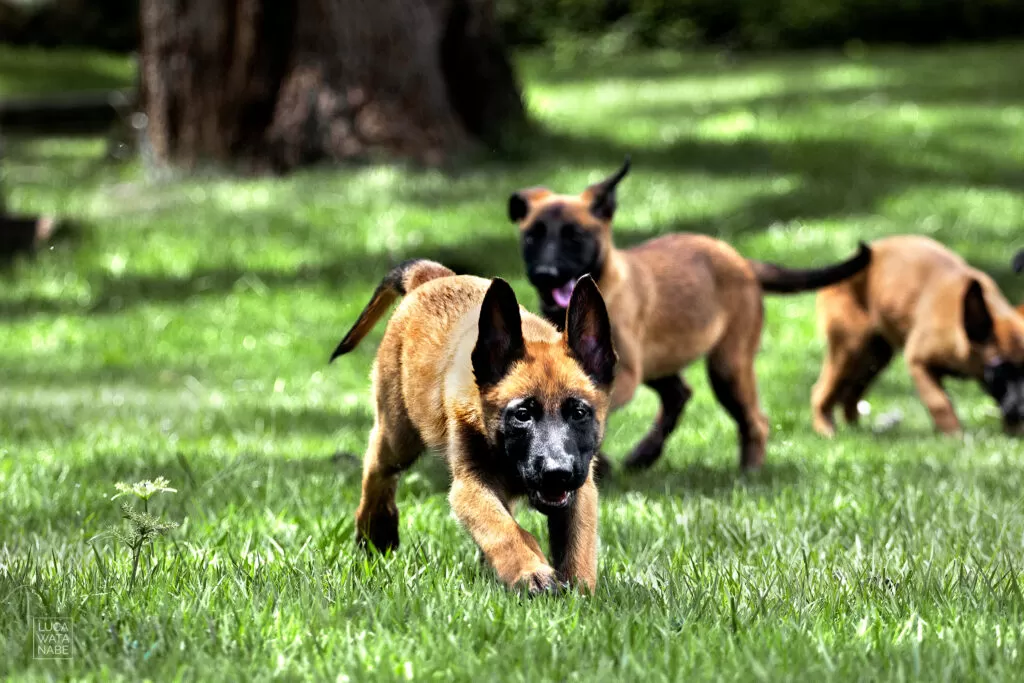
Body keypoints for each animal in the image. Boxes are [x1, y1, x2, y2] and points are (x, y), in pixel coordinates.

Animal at [331, 258, 610, 593]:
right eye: (522, 415)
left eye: (579, 412)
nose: (557, 473)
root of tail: (433, 277)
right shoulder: (469, 485)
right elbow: (505, 530)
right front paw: (531, 572)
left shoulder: (580, 489)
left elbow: (578, 545)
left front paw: (579, 591)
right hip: (399, 434)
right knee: (377, 466)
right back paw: (376, 530)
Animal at [505, 157, 872, 473]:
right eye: (532, 237)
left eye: (575, 236)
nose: (545, 274)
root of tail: (742, 262)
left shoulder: (621, 376)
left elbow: (592, 413)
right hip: (664, 363)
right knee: (679, 394)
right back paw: (644, 455)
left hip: (727, 367)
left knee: (754, 420)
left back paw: (748, 472)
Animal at [811, 237, 1024, 436]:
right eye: (1000, 370)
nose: (1021, 411)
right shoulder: (918, 362)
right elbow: (940, 402)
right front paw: (955, 438)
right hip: (850, 349)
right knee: (821, 391)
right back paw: (826, 429)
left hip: (874, 358)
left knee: (851, 396)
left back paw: (856, 430)